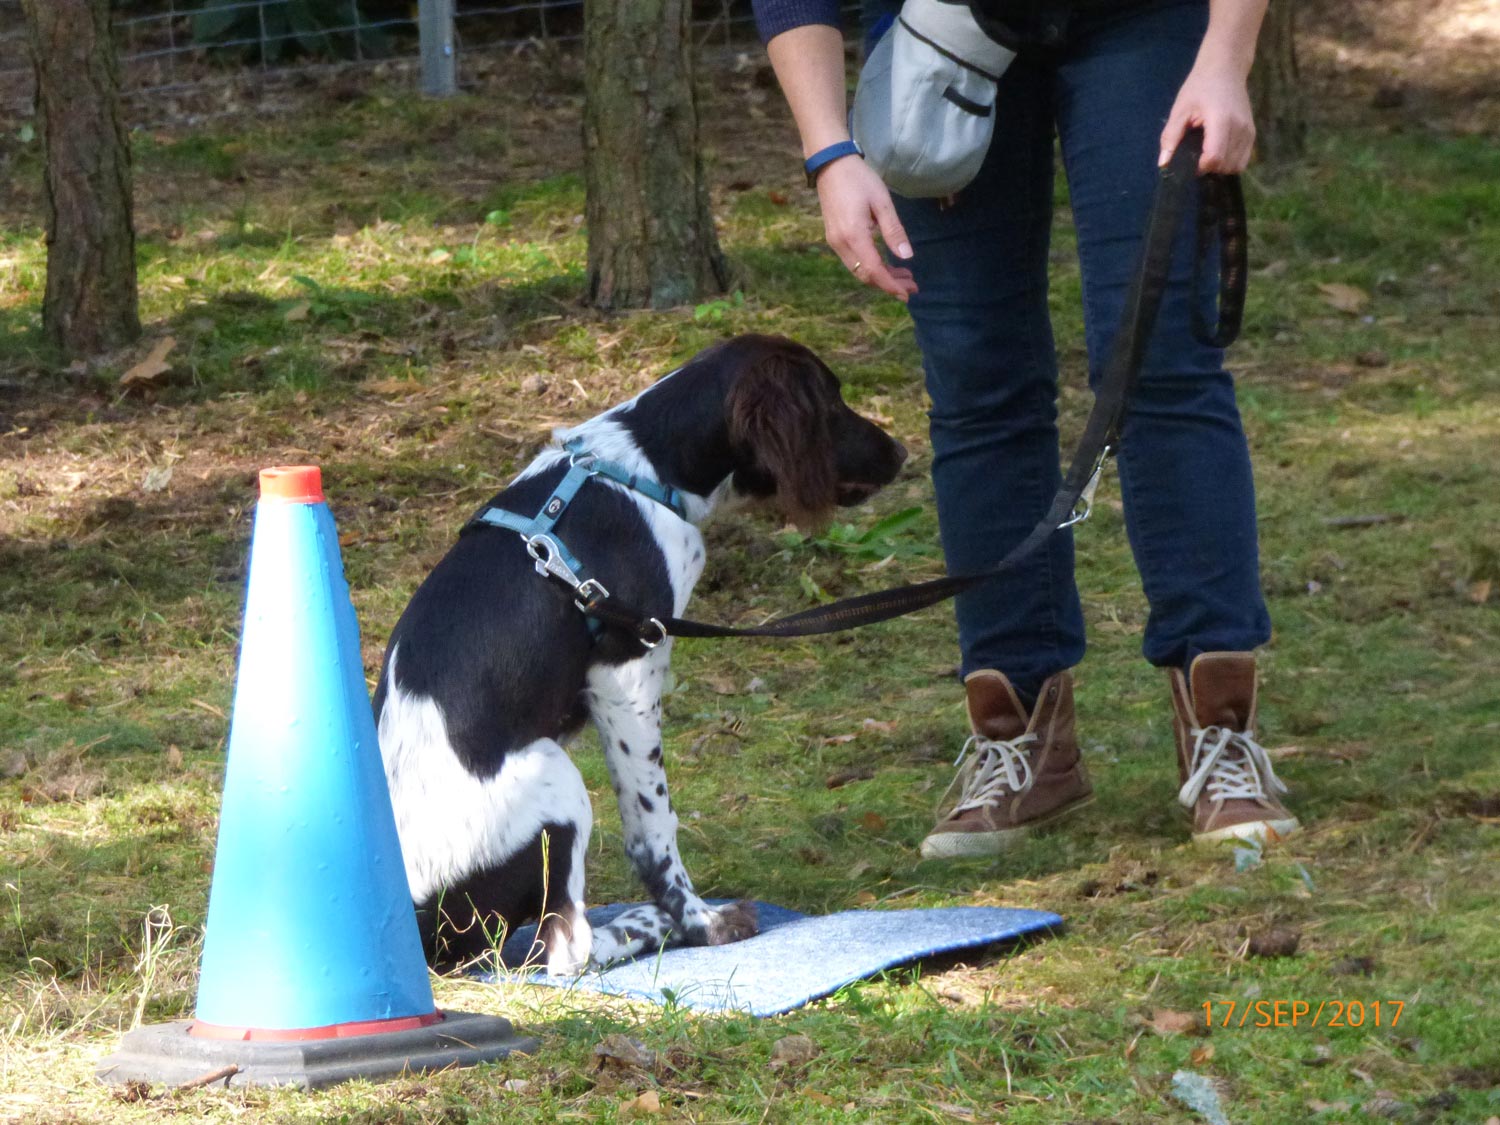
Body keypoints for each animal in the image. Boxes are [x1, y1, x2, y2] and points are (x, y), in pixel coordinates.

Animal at [375, 334, 906, 978]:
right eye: (831, 403)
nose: (902, 452)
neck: (645, 466)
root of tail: (420, 925)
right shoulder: (627, 670)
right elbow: (655, 828)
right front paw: (703, 923)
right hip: (555, 772)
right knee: (566, 948)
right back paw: (651, 925)